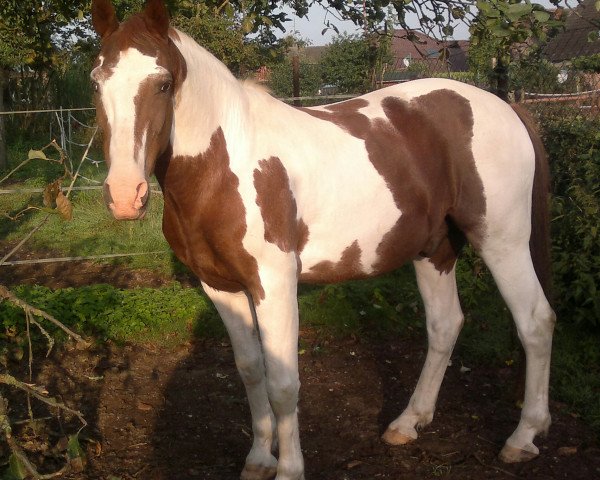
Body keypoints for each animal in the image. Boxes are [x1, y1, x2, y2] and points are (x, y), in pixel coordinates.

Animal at [90, 1, 556, 478]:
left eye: (163, 83)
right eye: (96, 82)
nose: (125, 195)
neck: (223, 167)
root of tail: (505, 107)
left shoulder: (274, 285)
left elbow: (282, 383)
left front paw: (289, 468)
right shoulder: (221, 288)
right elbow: (251, 371)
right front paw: (259, 459)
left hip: (503, 243)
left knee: (536, 322)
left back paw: (523, 437)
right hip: (433, 250)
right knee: (445, 325)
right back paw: (408, 422)